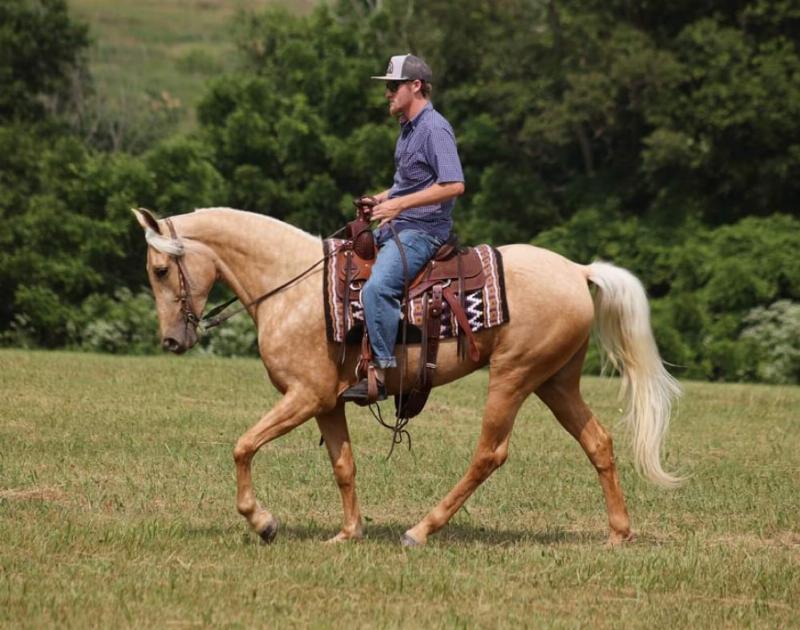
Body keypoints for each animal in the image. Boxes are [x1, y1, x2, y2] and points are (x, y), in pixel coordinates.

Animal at [132, 206, 681, 546]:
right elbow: (343, 466)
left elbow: (243, 446)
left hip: (514, 376)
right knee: (598, 442)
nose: (171, 341)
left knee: (489, 453)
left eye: (159, 270)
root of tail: (577, 269)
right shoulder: (326, 403)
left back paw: (421, 530)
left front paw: (263, 522)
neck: (291, 284)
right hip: (556, 381)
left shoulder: (304, 396)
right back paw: (618, 532)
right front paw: (348, 533)